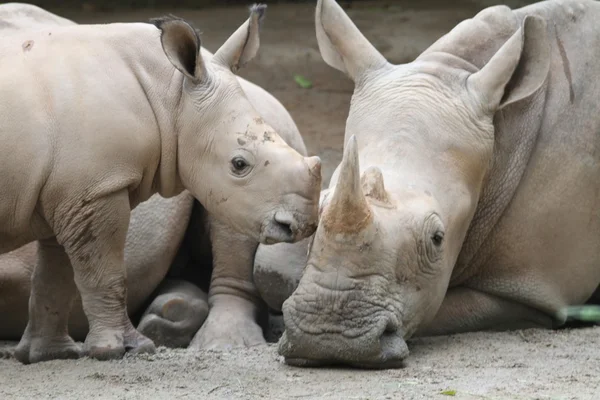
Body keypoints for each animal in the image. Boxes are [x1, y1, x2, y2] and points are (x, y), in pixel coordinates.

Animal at [0, 3, 322, 366]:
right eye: (239, 164)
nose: (302, 226)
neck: (169, 93)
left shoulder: (82, 189)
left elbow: (64, 273)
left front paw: (62, 354)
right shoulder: (86, 190)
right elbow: (91, 272)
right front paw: (112, 350)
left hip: (270, 110)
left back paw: (207, 338)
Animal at [253, 0, 600, 368]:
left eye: (437, 238)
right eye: (318, 216)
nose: (328, 338)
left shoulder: (532, 287)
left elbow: (438, 309)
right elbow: (270, 269)